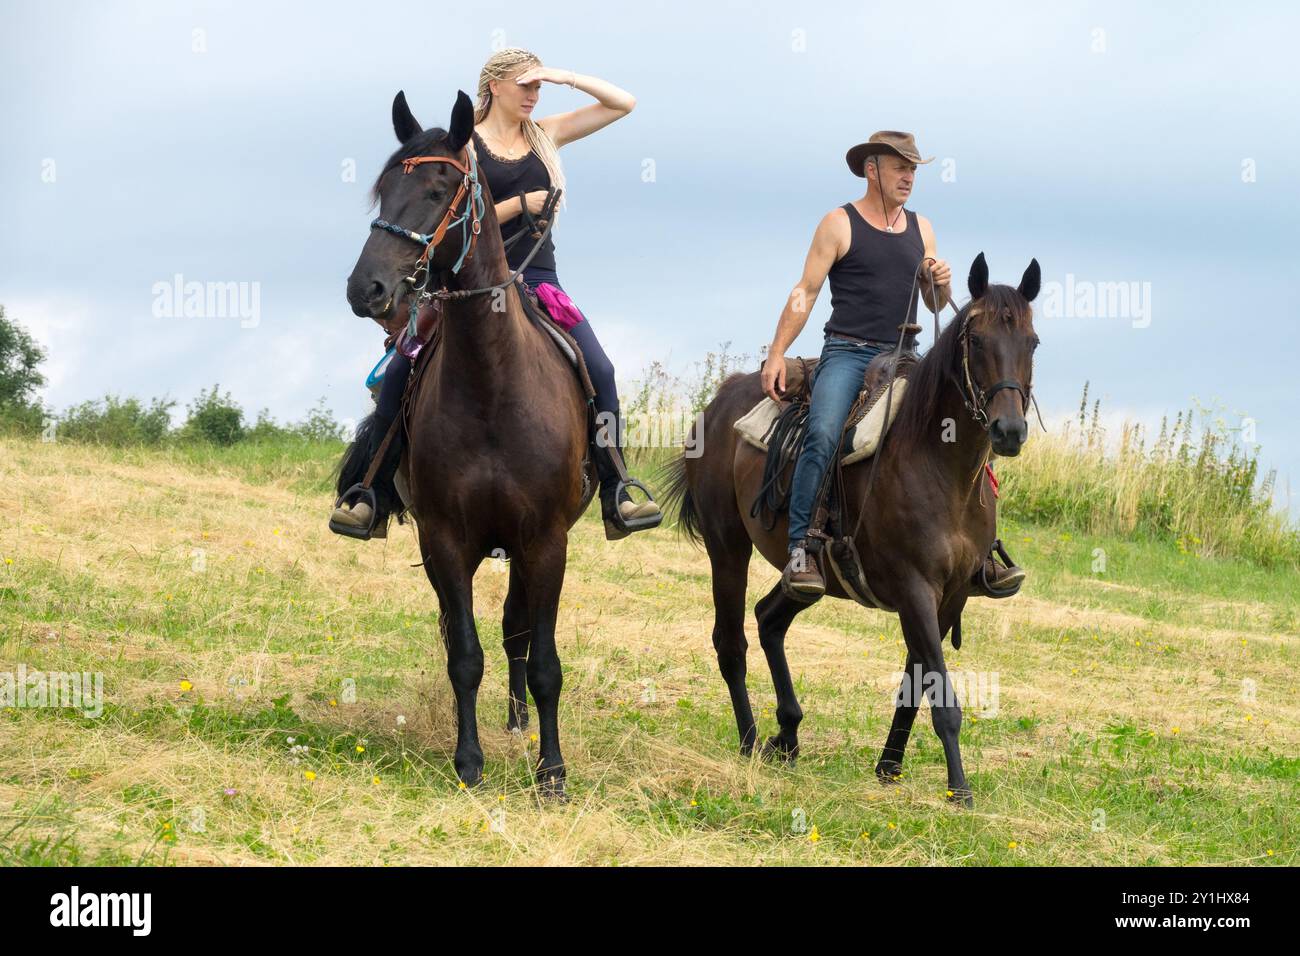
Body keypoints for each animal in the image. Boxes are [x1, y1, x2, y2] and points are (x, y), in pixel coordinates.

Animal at [340, 89, 595, 796]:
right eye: (383, 190)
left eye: (439, 188)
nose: (367, 290)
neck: (491, 385)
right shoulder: (445, 541)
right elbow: (464, 654)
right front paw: (468, 762)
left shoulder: (546, 541)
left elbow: (543, 659)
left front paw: (551, 772)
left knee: (517, 633)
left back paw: (518, 722)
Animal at [665, 256, 1040, 806]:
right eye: (976, 340)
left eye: (1032, 342)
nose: (1008, 432)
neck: (938, 464)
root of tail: (720, 400)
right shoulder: (915, 589)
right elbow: (942, 696)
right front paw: (960, 790)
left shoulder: (951, 598)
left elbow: (916, 685)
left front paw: (889, 767)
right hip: (727, 547)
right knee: (730, 643)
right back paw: (751, 741)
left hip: (811, 578)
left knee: (770, 619)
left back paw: (787, 734)